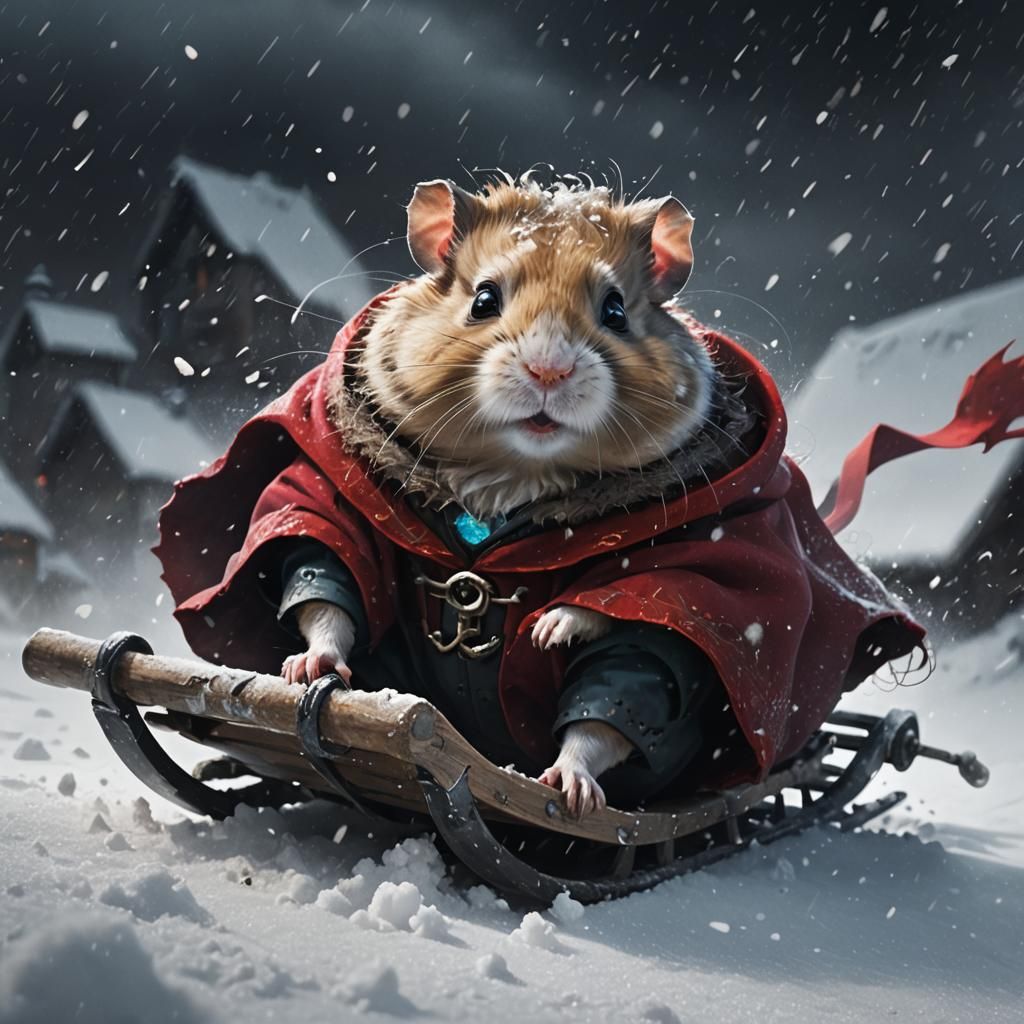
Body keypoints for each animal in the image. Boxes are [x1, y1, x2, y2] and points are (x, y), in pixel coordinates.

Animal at [284, 174, 724, 818]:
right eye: (484, 300)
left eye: (616, 310)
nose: (548, 371)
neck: (513, 476)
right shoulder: (329, 498)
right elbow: (327, 570)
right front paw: (305, 667)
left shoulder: (692, 565)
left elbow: (634, 611)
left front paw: (549, 628)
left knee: (621, 695)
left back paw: (570, 788)